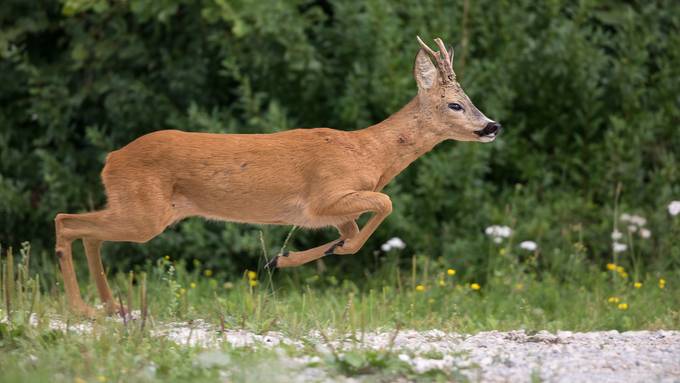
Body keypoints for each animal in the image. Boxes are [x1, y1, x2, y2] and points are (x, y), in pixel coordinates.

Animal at [54, 37, 500, 316]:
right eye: (456, 104)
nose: (492, 125)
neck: (370, 154)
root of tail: (111, 158)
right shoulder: (324, 195)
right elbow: (385, 205)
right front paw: (280, 259)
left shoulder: (336, 209)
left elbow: (354, 236)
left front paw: (292, 256)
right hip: (144, 211)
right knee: (66, 222)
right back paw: (82, 308)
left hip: (141, 209)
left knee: (88, 232)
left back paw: (111, 306)